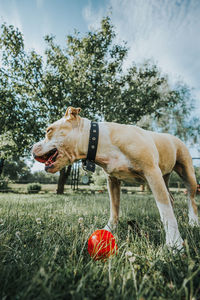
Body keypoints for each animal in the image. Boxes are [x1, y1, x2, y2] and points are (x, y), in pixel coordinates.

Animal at [31, 106, 198, 250]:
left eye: (49, 130)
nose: (31, 147)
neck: (97, 140)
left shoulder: (151, 172)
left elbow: (165, 210)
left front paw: (175, 244)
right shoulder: (113, 180)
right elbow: (114, 208)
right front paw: (109, 229)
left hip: (186, 173)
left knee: (190, 198)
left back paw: (193, 222)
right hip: (162, 178)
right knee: (170, 198)